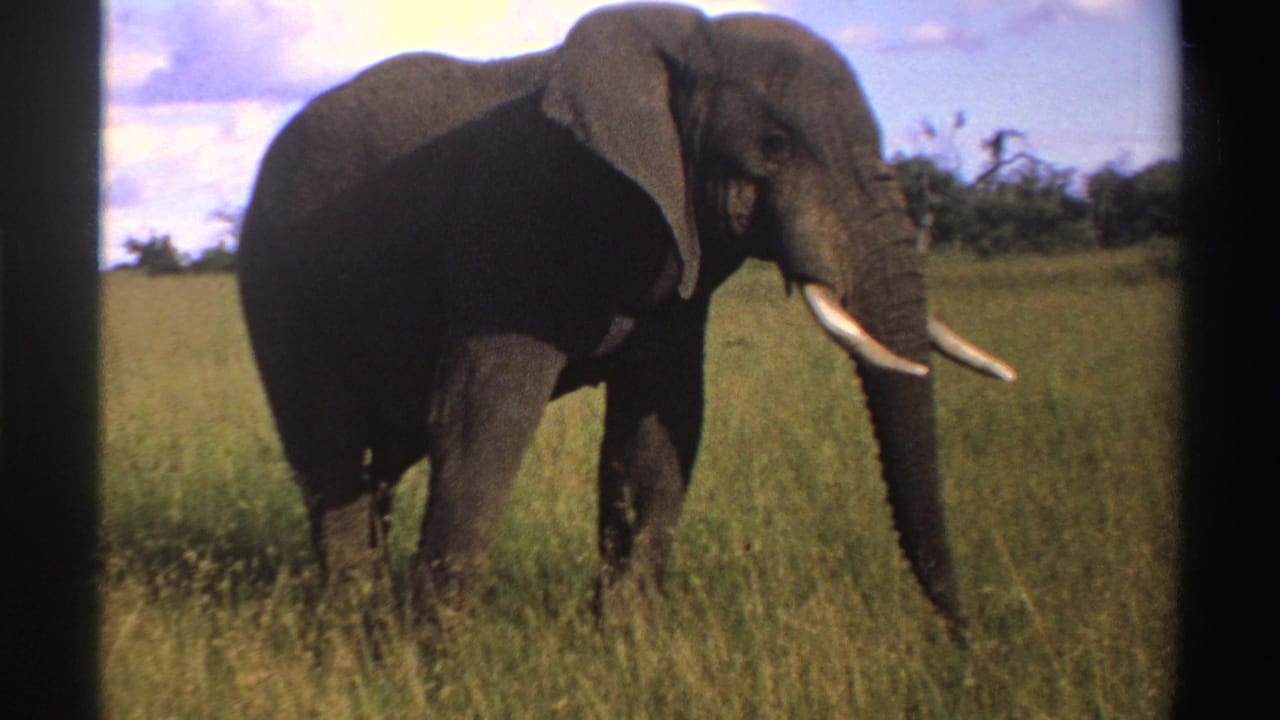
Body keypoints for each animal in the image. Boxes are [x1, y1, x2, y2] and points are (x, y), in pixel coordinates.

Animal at [237, 2, 1016, 640]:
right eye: (775, 146)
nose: (964, 639)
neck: (682, 50)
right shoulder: (512, 221)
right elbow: (479, 418)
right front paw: (428, 666)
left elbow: (662, 427)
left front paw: (628, 648)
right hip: (276, 283)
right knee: (331, 452)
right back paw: (348, 632)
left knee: (381, 463)